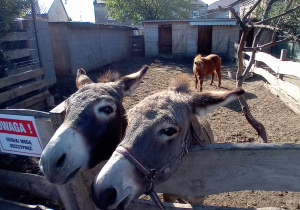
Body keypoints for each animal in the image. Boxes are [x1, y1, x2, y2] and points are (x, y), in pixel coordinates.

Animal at [91, 74, 244, 210]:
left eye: (169, 131)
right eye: (128, 120)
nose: (101, 192)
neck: (188, 184)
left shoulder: (199, 200)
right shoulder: (168, 196)